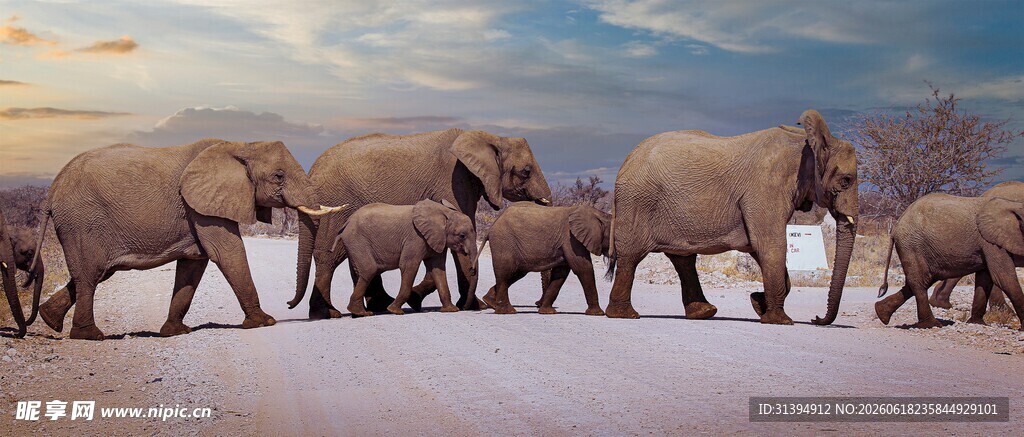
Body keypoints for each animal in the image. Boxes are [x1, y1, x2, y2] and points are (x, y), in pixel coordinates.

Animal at [34, 139, 344, 340]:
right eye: (279, 176)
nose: (290, 305)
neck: (240, 146)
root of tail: (53, 190)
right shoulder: (201, 207)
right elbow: (227, 252)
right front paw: (264, 322)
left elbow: (194, 264)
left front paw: (174, 332)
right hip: (81, 222)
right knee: (91, 274)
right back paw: (90, 336)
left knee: (95, 273)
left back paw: (50, 320)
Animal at [288, 200, 476, 317]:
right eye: (462, 236)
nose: (472, 269)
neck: (444, 212)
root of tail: (346, 224)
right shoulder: (415, 238)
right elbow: (409, 266)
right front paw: (395, 311)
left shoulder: (436, 239)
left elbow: (438, 270)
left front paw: (451, 311)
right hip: (357, 240)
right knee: (369, 270)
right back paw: (361, 312)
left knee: (362, 271)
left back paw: (359, 312)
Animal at [476, 202, 610, 315]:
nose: (537, 303)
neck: (598, 214)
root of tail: (492, 225)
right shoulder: (571, 239)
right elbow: (583, 268)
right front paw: (598, 314)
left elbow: (561, 273)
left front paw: (547, 312)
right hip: (503, 241)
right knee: (505, 272)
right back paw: (507, 311)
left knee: (516, 273)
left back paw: (490, 302)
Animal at [605, 110, 858, 325]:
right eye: (846, 180)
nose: (816, 319)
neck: (808, 142)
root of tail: (627, 160)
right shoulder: (766, 189)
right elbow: (770, 245)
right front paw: (780, 320)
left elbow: (760, 247)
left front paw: (758, 303)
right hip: (637, 203)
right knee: (631, 256)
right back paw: (625, 315)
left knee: (683, 259)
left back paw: (704, 313)